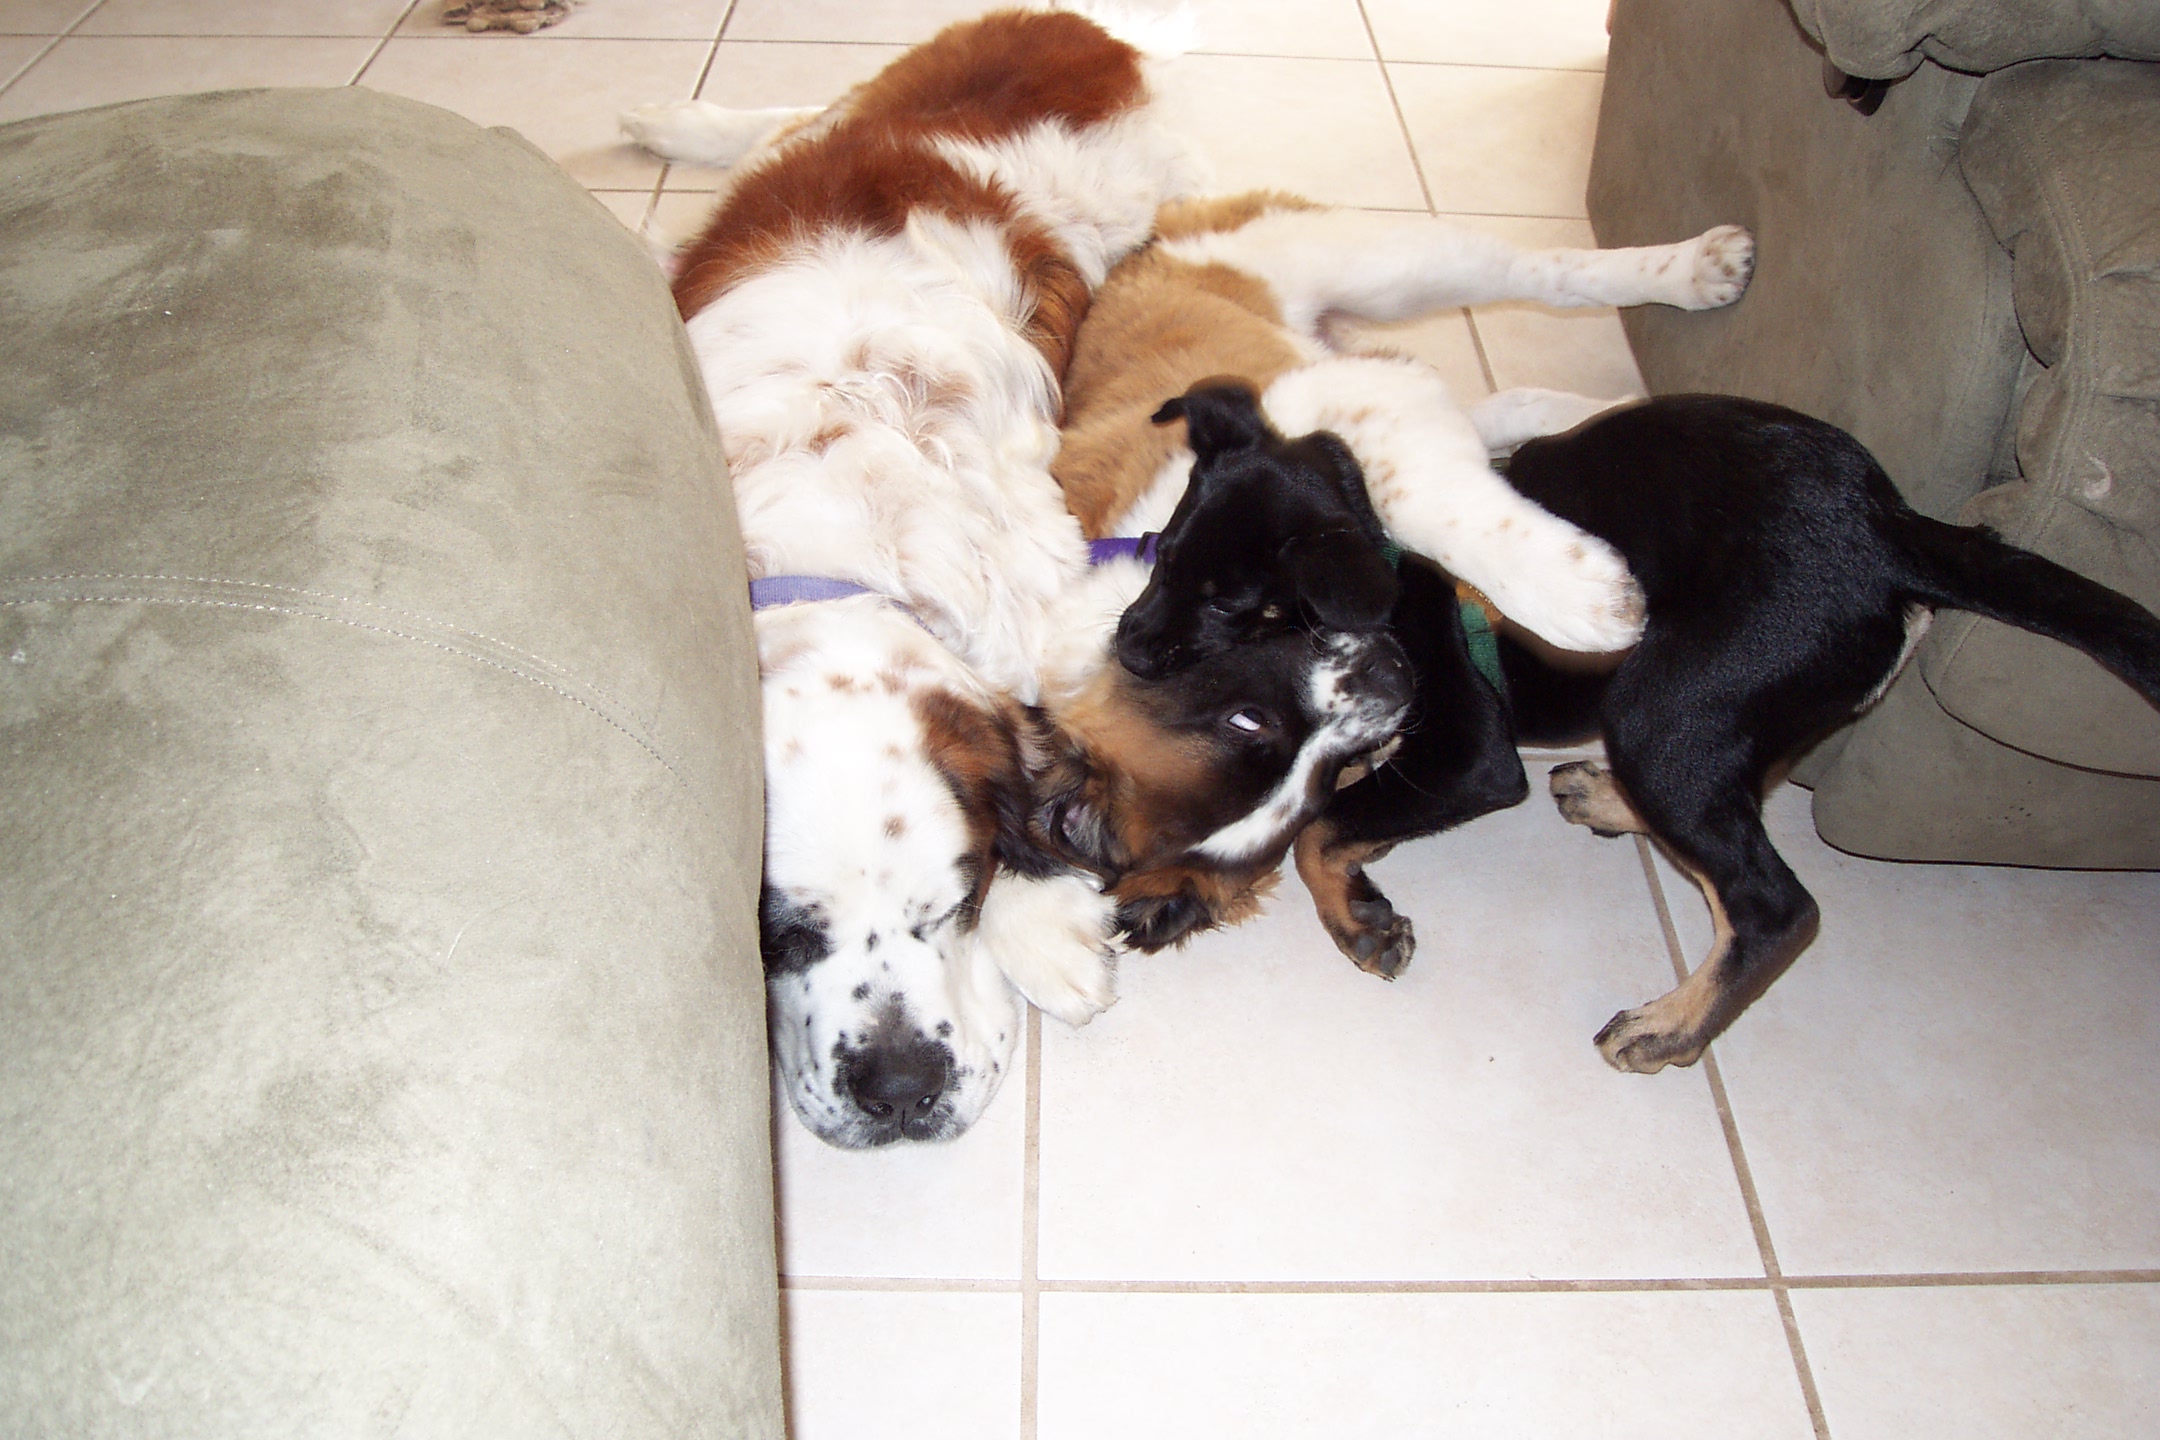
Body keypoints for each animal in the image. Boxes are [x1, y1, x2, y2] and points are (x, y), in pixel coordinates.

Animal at [624, 12, 1415, 1146]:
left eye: (954, 904)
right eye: (780, 935)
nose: (900, 1091)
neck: (832, 534)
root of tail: (1071, 27)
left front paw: (1043, 930)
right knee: (782, 122)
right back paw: (669, 131)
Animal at [1041, 191, 1755, 947]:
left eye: (1247, 719)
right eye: (1318, 782)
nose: (1132, 649)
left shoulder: (1355, 401)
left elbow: (1412, 498)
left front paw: (1583, 596)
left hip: (1385, 266)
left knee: (1547, 272)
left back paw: (1701, 268)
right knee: (1514, 402)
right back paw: (1620, 406)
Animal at [1119, 389, 2160, 1073]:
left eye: (1233, 606)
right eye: (1162, 555)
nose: (1124, 648)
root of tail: (1893, 529)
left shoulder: (1472, 754)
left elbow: (1318, 830)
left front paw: (1354, 919)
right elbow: (1290, 814)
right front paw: (1178, 889)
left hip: (1668, 705)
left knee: (1775, 905)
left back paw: (1671, 1025)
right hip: (1721, 706)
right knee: (1747, 800)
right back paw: (1619, 806)